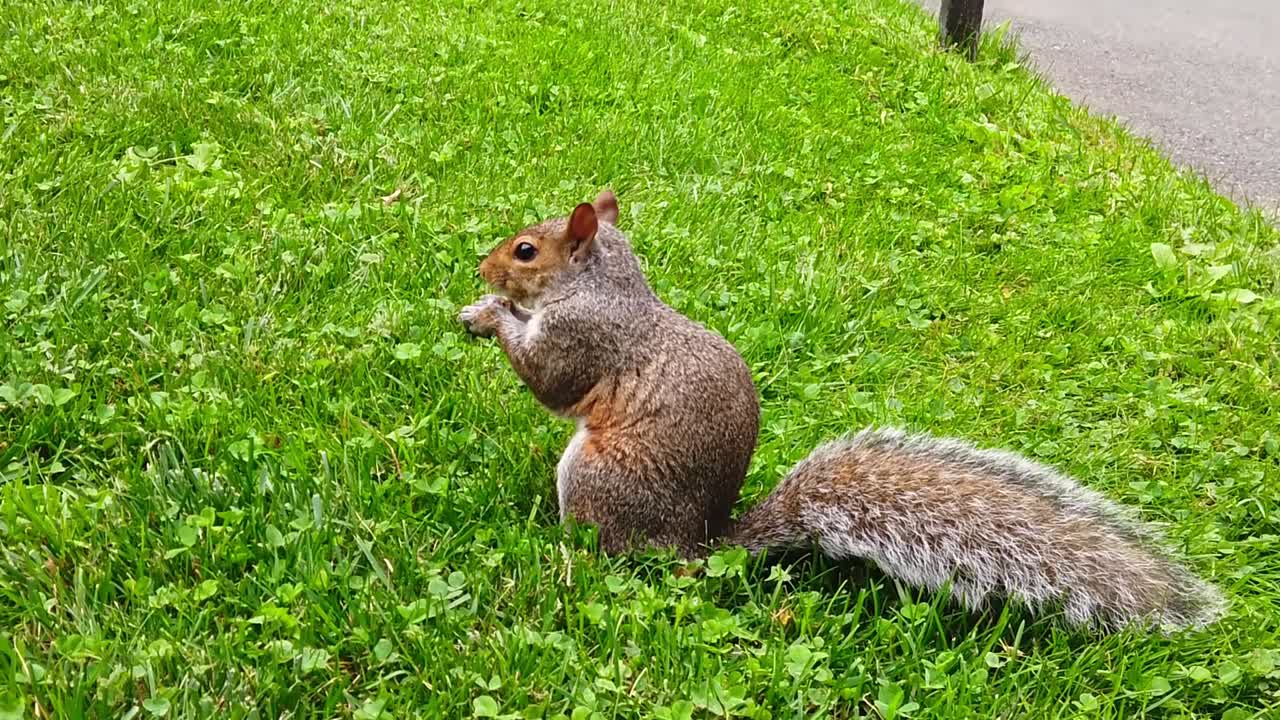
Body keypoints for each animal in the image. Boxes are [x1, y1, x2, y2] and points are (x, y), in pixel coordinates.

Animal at [458, 190, 1226, 632]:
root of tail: (695, 546)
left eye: (525, 250)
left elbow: (549, 380)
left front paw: (490, 313)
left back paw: (560, 550)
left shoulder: (583, 339)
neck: (603, 285)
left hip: (595, 478)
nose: (482, 267)